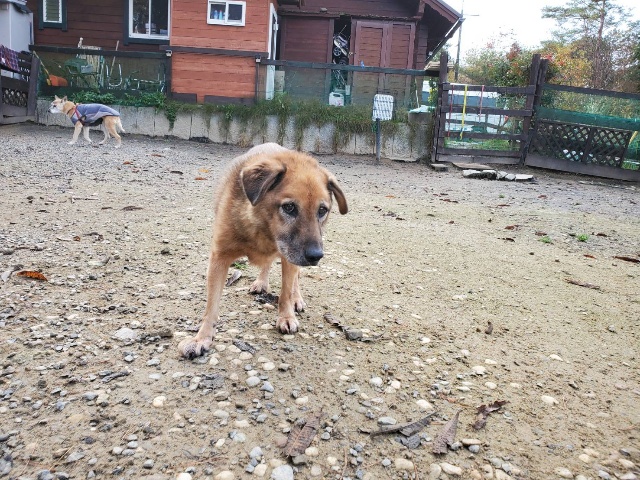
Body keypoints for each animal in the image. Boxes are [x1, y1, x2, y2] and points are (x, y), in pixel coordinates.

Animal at [178, 143, 348, 358]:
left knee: (294, 279)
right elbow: (211, 306)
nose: (316, 256)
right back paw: (261, 282)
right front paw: (201, 338)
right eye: (289, 207)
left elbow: (286, 292)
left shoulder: (290, 257)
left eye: (322, 210)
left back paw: (297, 298)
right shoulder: (219, 258)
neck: (263, 229)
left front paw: (286, 316)